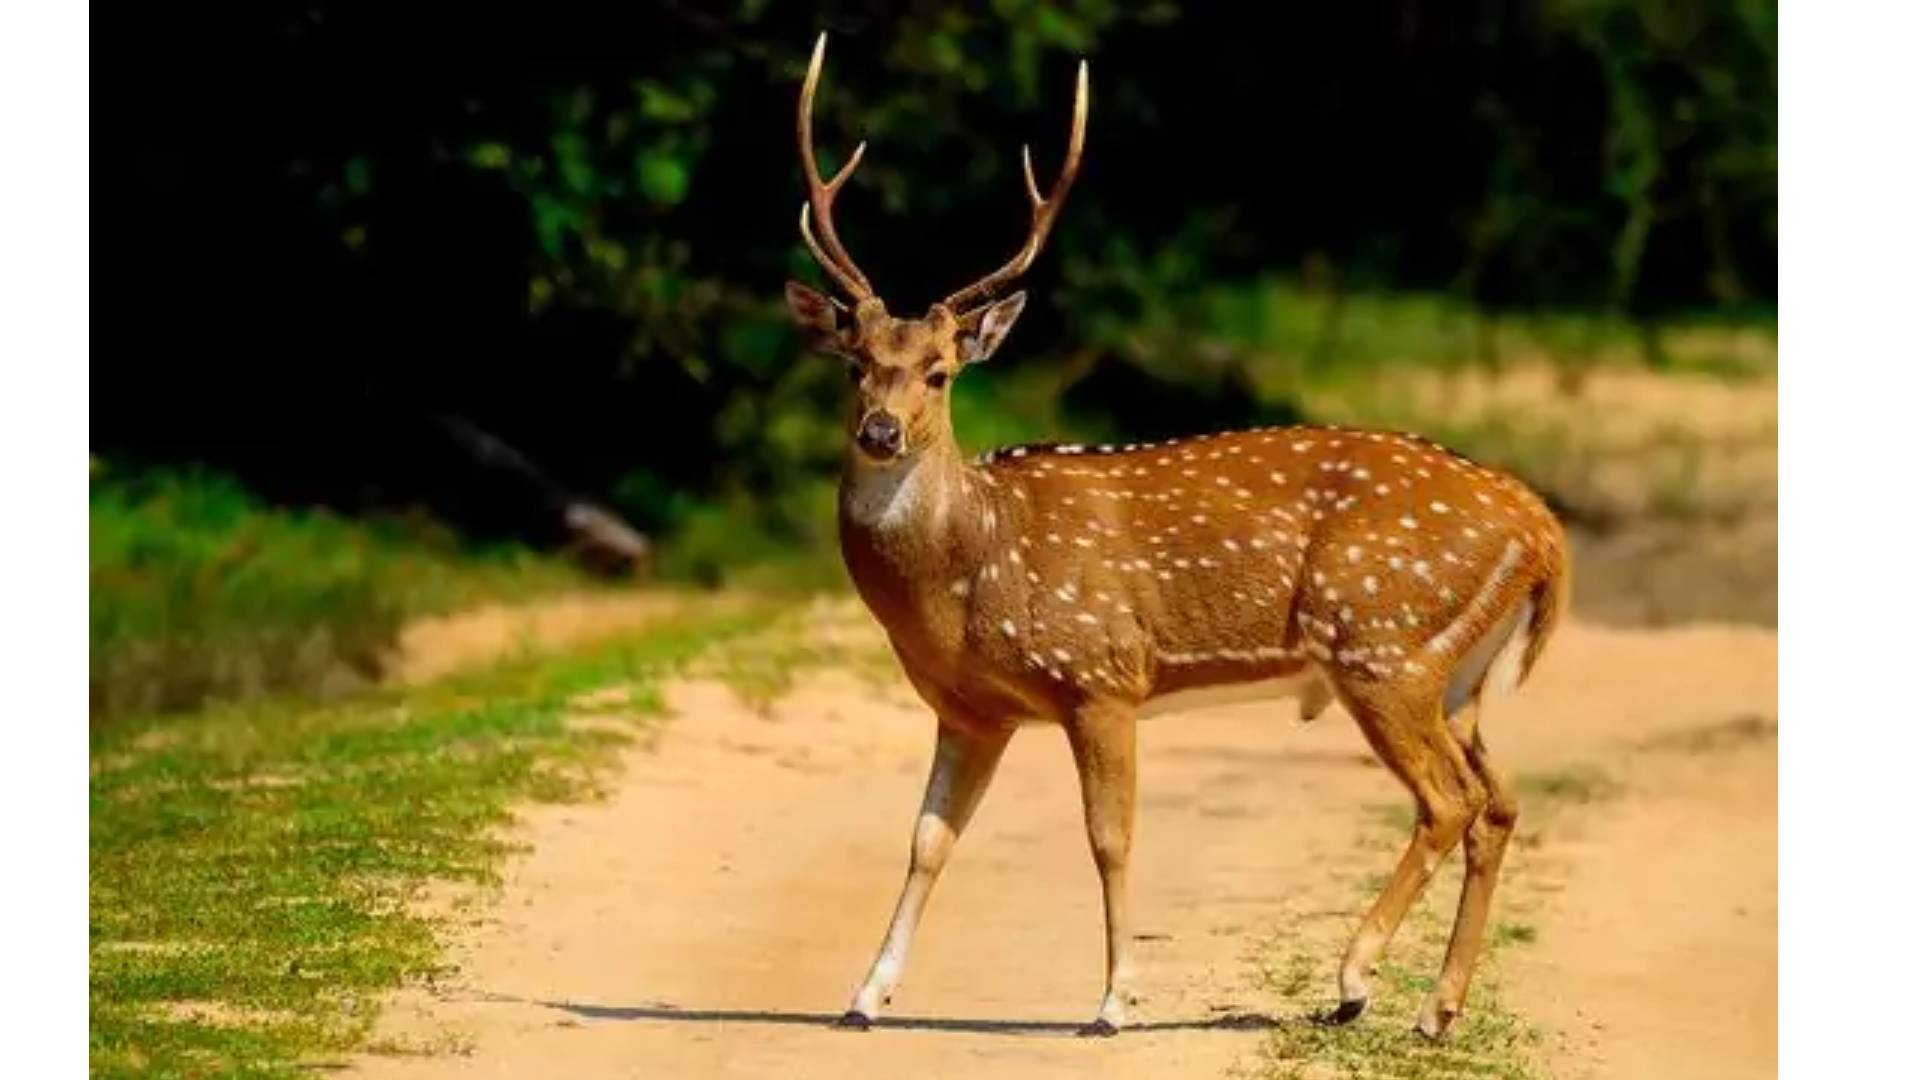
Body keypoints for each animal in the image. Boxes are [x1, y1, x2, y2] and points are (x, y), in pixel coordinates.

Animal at [782, 33, 1570, 1039]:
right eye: (854, 365)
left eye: (941, 371)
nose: (880, 431)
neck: (970, 579)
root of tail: (1540, 524)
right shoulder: (969, 708)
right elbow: (927, 839)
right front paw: (864, 996)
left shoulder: (1100, 673)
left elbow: (1109, 839)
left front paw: (1114, 1000)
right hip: (1456, 671)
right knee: (1498, 802)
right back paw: (1437, 1009)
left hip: (1381, 643)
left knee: (1448, 799)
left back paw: (1355, 982)